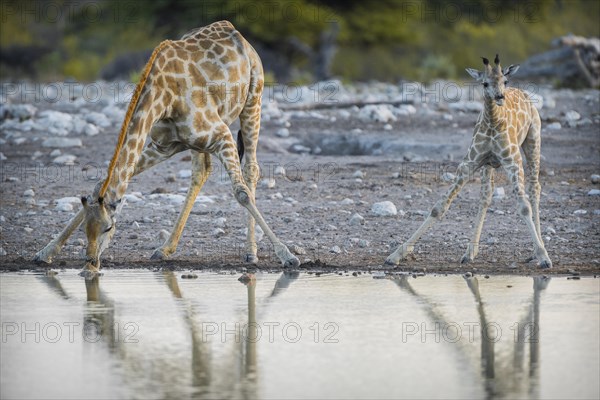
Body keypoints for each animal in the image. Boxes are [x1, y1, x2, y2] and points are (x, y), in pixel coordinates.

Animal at [32, 21, 300, 276]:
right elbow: (100, 184)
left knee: (251, 169)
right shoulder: (164, 145)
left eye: (109, 227)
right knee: (202, 171)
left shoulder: (222, 135)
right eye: (85, 229)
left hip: (254, 100)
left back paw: (251, 252)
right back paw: (165, 249)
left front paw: (287, 256)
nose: (90, 266)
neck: (164, 97)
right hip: (198, 143)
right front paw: (45, 252)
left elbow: (241, 193)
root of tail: (237, 33)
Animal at [386, 52, 552, 266]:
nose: (500, 96)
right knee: (486, 196)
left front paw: (543, 256)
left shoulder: (513, 162)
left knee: (534, 188)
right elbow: (439, 207)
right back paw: (470, 252)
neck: (493, 123)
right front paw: (396, 254)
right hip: (488, 165)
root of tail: (524, 93)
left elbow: (524, 208)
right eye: (484, 83)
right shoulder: (469, 163)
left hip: (533, 140)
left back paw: (536, 249)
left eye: (504, 80)